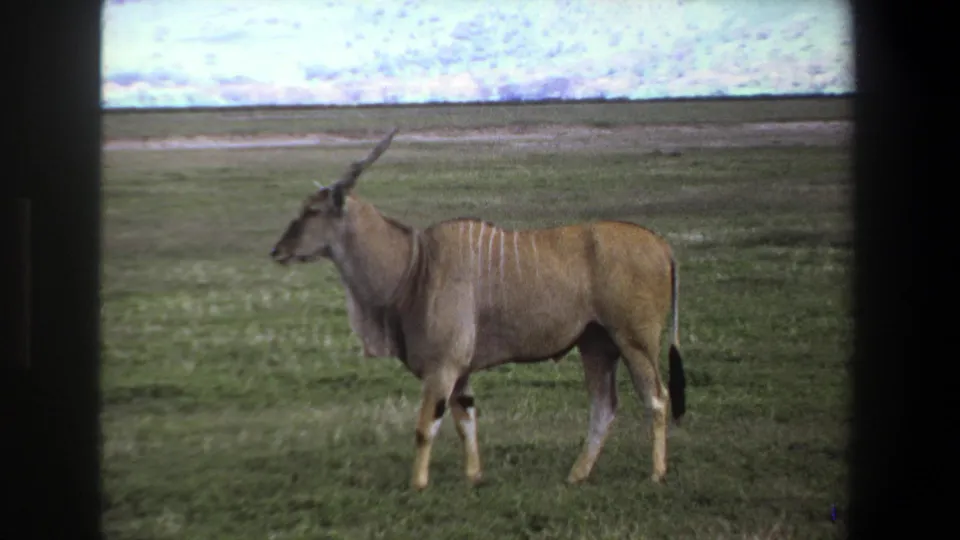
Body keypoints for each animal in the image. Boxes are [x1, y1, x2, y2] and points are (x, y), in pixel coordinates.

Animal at [270, 128, 688, 490]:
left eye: (312, 211)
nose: (277, 250)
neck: (415, 265)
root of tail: (662, 245)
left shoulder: (442, 368)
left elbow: (426, 427)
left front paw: (417, 484)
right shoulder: (460, 372)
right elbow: (465, 420)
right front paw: (474, 477)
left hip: (633, 341)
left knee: (657, 398)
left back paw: (656, 473)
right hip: (596, 343)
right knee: (604, 406)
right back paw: (577, 474)